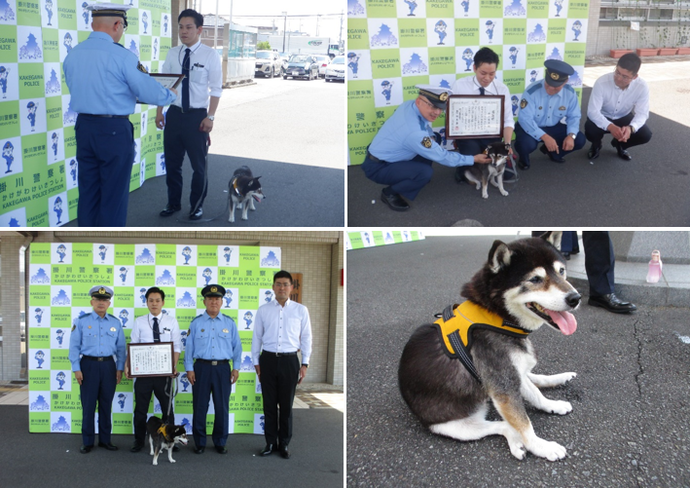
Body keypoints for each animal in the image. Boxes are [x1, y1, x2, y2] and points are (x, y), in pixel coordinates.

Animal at [398, 232, 580, 462]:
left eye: (561, 271)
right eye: (535, 279)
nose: (575, 298)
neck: (496, 315)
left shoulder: (508, 375)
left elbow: (536, 396)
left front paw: (551, 405)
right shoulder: (503, 386)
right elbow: (523, 423)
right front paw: (541, 447)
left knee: (532, 382)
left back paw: (560, 379)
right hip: (457, 427)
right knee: (503, 425)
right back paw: (517, 443)